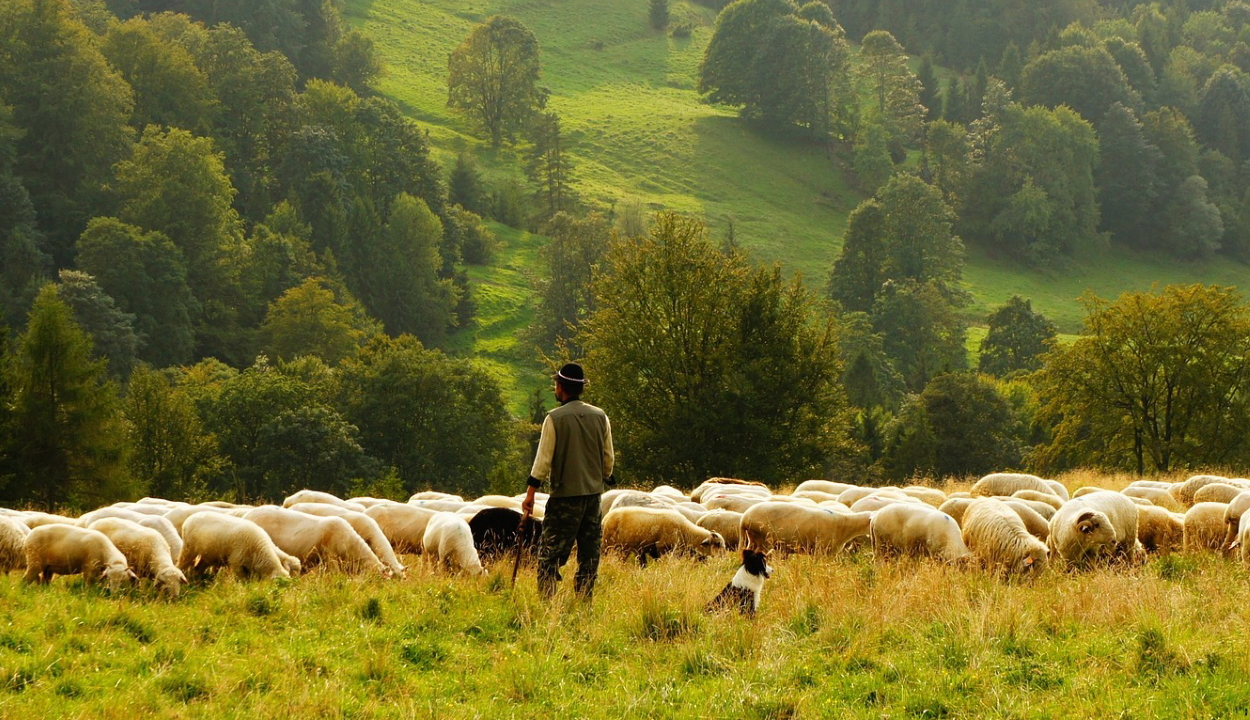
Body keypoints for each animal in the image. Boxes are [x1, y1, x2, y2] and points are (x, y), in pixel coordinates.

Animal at [602, 502, 730, 565]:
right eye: (717, 544)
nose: (724, 559)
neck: (686, 532)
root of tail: (607, 517)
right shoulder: (662, 547)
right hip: (610, 544)